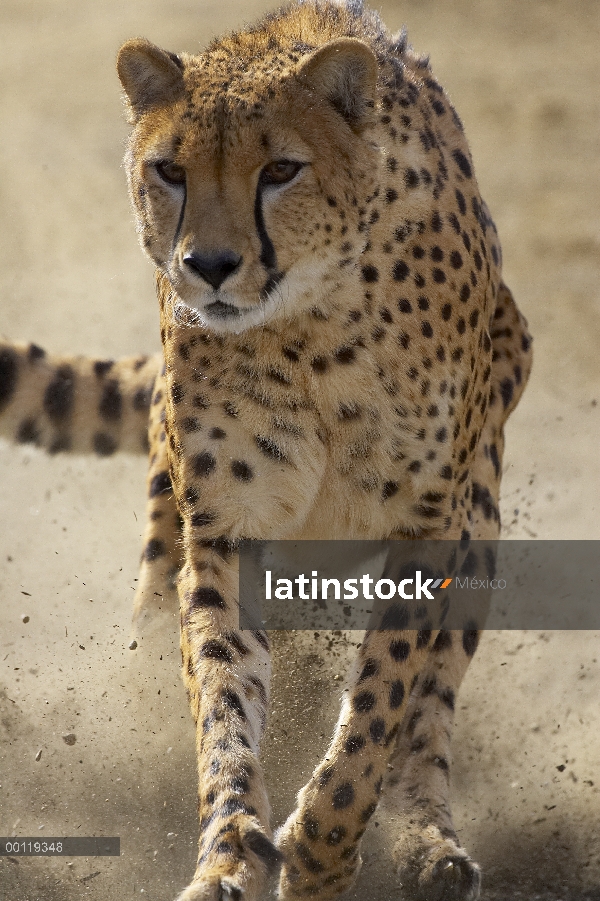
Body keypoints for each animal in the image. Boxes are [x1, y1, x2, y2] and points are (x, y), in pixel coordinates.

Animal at [0, 3, 536, 896]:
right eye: (171, 170)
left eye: (282, 169)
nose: (210, 266)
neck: (311, 326)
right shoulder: (225, 531)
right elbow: (222, 700)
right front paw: (227, 855)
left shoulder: (430, 523)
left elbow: (380, 710)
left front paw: (320, 854)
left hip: (481, 519)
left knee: (430, 713)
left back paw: (429, 842)